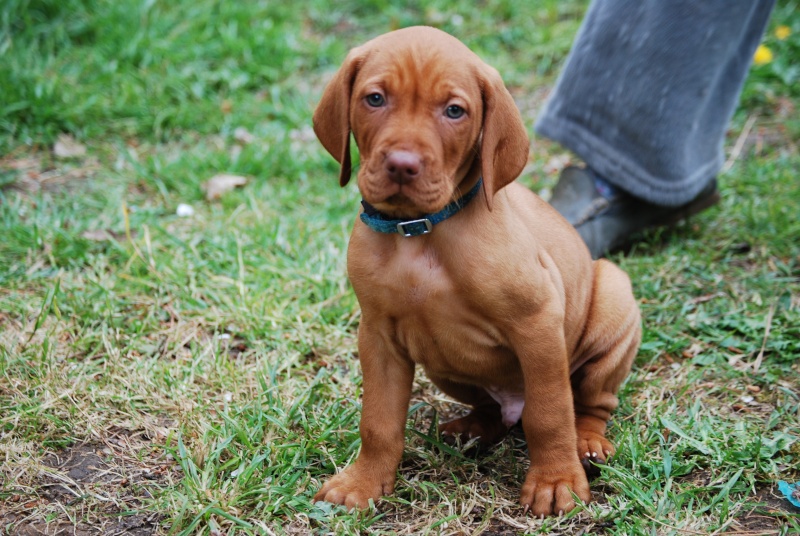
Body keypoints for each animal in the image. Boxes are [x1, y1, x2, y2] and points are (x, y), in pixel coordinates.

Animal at [310, 27, 640, 516]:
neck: (419, 232)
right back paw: (472, 428)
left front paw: (556, 481)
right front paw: (364, 482)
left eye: (454, 111)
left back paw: (587, 443)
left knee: (589, 402)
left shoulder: (538, 322)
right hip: (442, 364)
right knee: (493, 411)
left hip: (613, 302)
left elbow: (550, 413)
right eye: (375, 98)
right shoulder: (378, 336)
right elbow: (379, 421)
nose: (402, 165)